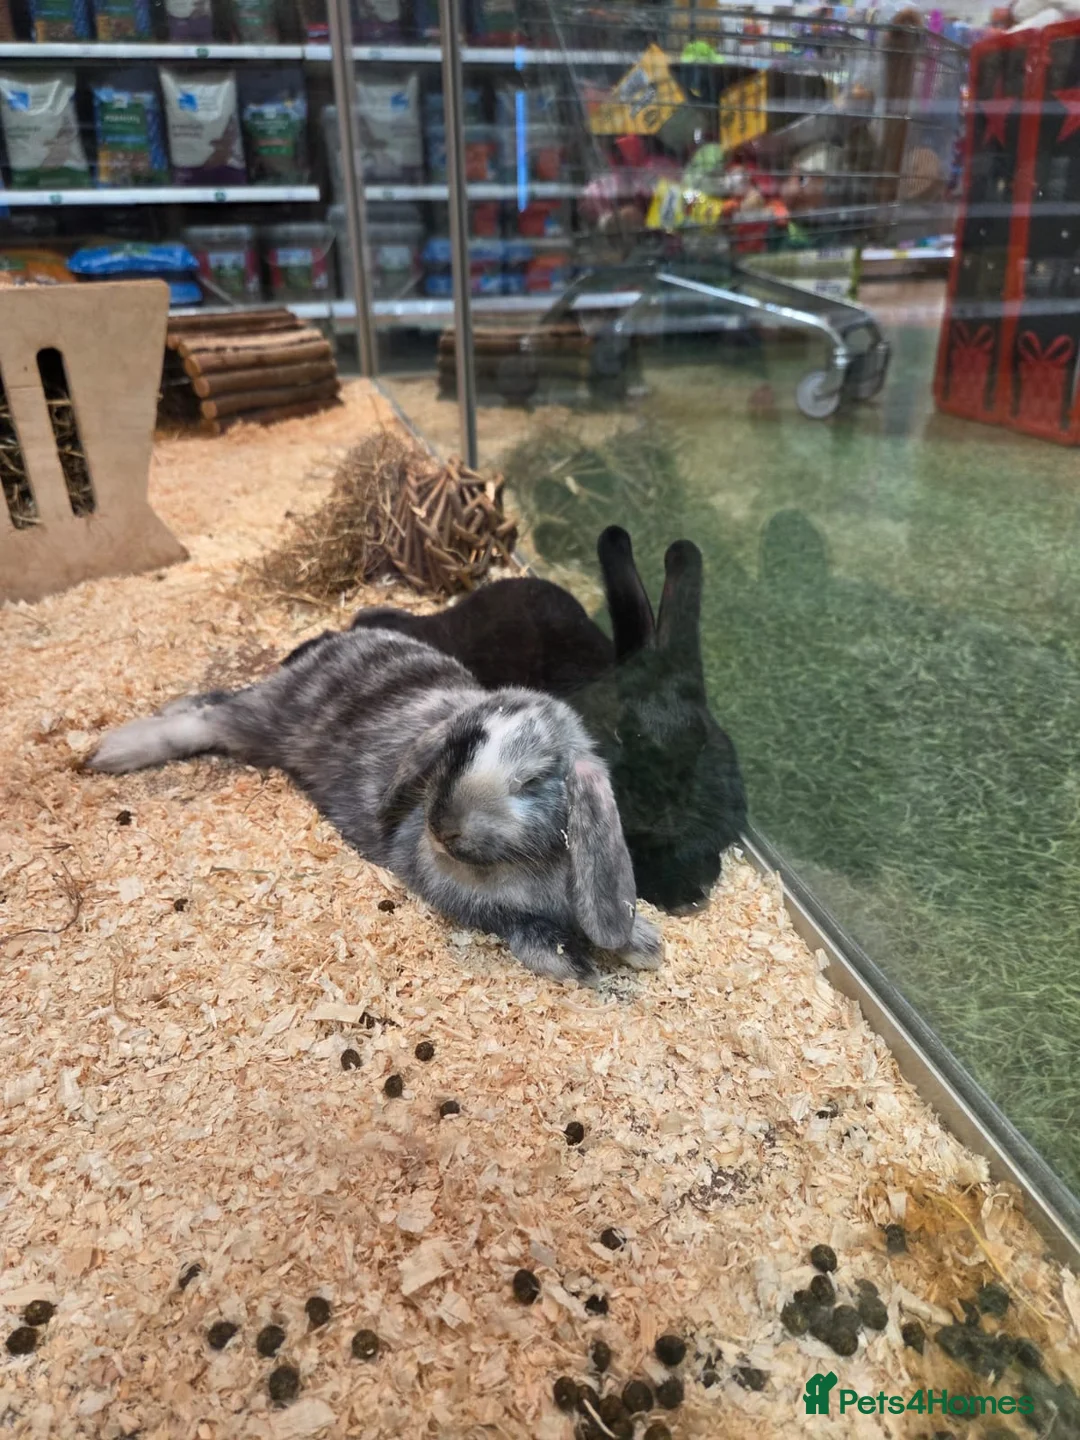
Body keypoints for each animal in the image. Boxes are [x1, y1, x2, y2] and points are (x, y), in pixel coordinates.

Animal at [85, 627, 661, 985]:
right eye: (451, 754)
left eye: (535, 780)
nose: (443, 830)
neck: (527, 865)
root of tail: (335, 642)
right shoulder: (462, 897)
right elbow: (512, 921)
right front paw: (571, 961)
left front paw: (645, 945)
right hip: (268, 721)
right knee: (207, 719)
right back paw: (108, 752)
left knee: (210, 701)